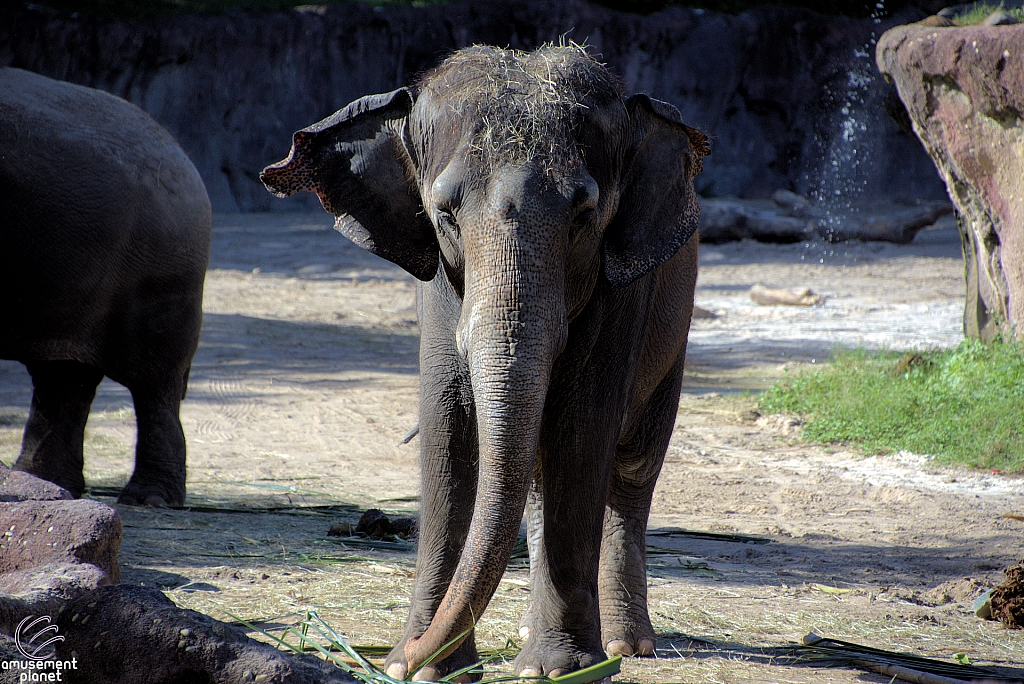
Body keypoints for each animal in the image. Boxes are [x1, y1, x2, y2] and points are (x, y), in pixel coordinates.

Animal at [0, 68, 211, 507]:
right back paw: (43, 484)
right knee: (63, 376)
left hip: (161, 275)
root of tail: (177, 148)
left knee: (154, 384)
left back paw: (147, 499)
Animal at [260, 45, 708, 679]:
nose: (387, 663)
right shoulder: (439, 285)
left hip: (676, 325)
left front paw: (560, 669)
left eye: (584, 216)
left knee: (632, 466)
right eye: (445, 214)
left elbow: (582, 431)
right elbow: (450, 430)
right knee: (540, 474)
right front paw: (428, 667)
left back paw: (622, 647)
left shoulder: (623, 292)